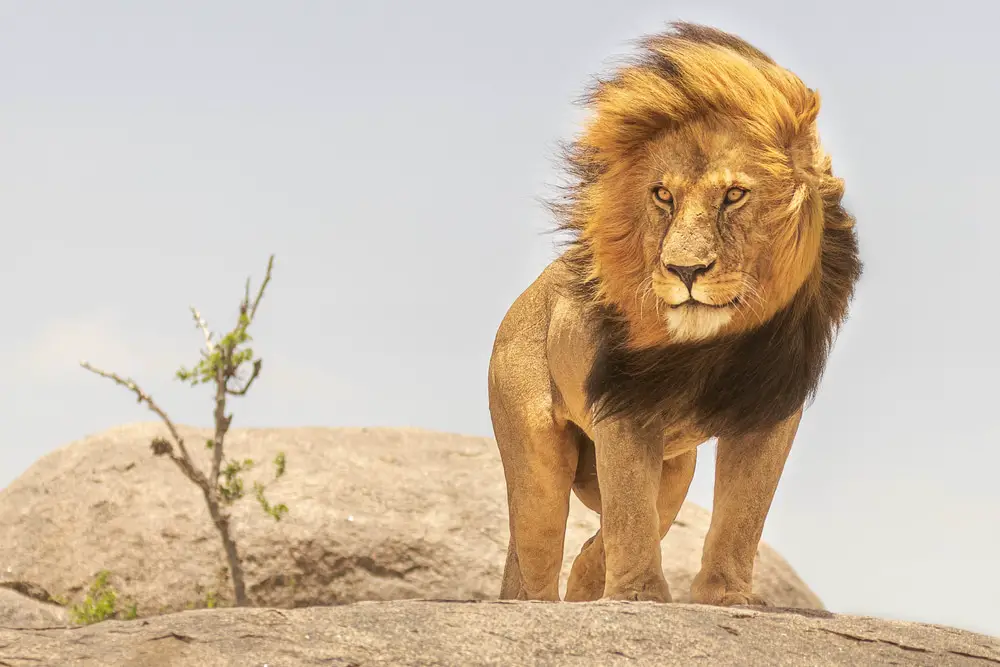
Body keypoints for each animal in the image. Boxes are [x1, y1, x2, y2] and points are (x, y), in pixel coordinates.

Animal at [488, 22, 864, 604]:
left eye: (734, 194)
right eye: (662, 195)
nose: (685, 270)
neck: (713, 345)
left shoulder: (770, 407)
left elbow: (742, 513)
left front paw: (726, 597)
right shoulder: (624, 405)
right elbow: (629, 511)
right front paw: (639, 597)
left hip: (675, 469)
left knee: (595, 550)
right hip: (536, 458)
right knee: (537, 554)